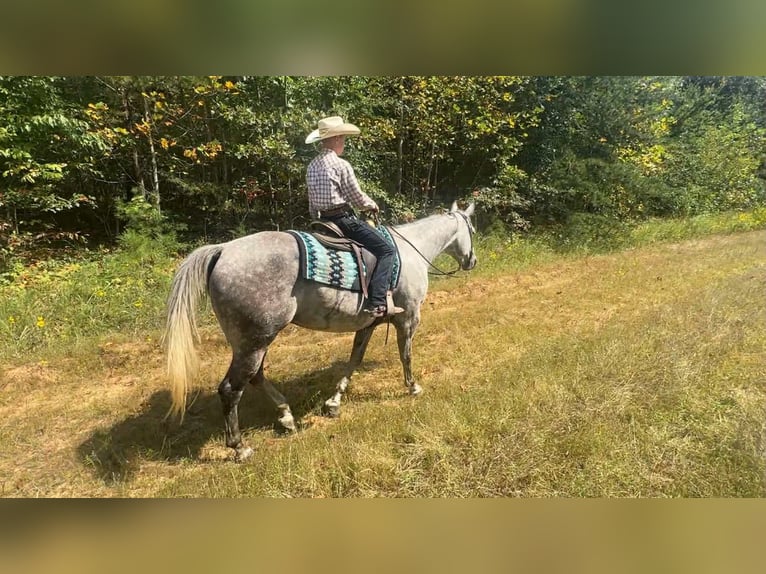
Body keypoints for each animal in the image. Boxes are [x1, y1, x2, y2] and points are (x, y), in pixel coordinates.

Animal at [164, 201, 476, 460]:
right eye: (472, 229)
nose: (471, 261)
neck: (411, 252)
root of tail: (223, 250)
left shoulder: (368, 324)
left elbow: (354, 360)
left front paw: (334, 402)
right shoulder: (410, 317)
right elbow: (406, 355)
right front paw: (413, 387)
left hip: (249, 342)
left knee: (255, 377)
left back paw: (286, 416)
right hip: (256, 340)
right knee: (231, 389)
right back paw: (240, 447)